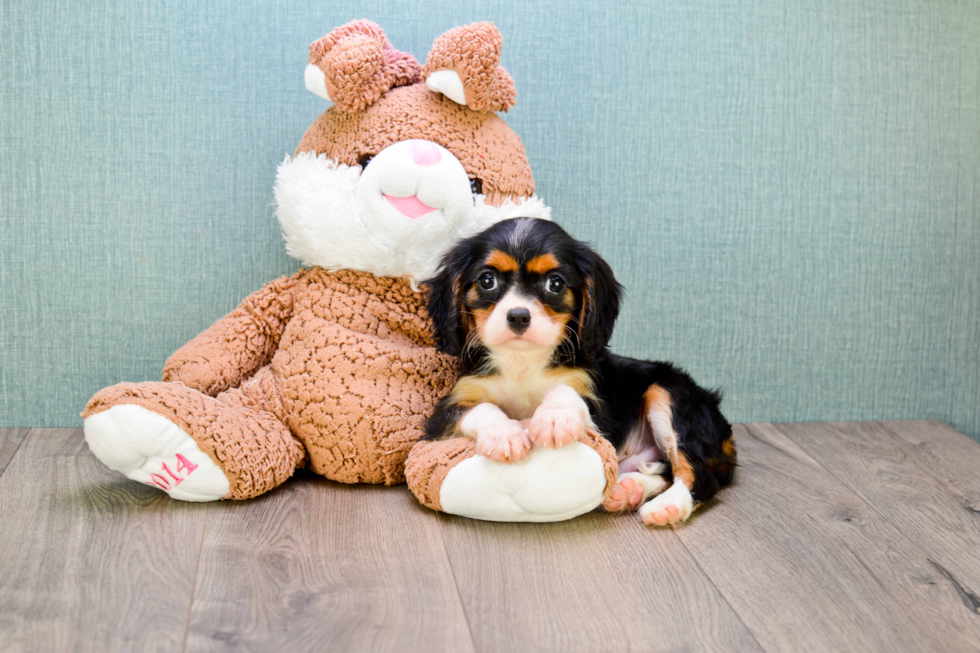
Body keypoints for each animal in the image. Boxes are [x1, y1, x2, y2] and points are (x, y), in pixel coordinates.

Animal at [422, 219, 736, 524]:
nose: (518, 316)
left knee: (700, 475)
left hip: (668, 391)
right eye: (488, 280)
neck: (523, 361)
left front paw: (554, 418)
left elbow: (564, 391)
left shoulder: (597, 413)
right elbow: (481, 407)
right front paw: (504, 434)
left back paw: (668, 506)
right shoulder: (446, 411)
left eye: (555, 283)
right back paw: (629, 489)